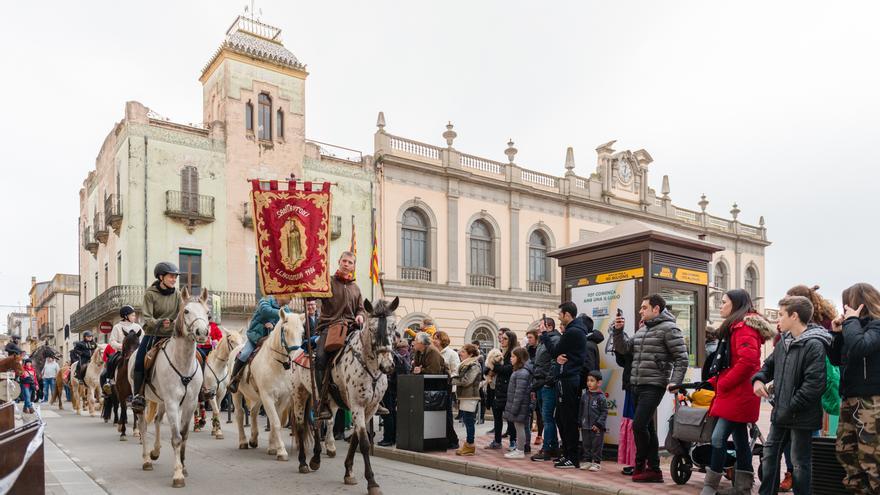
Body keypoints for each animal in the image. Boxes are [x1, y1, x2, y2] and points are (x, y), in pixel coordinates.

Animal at [129, 286, 210, 488]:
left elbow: (184, 435)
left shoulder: (189, 404)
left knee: (158, 420)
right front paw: (178, 475)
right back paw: (147, 460)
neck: (182, 363)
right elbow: (176, 438)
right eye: (186, 311)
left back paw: (155, 452)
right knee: (143, 426)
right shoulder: (173, 403)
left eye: (208, 313)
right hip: (145, 400)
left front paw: (183, 466)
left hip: (161, 400)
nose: (202, 332)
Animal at [232, 310, 304, 462]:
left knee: (253, 412)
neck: (277, 365)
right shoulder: (268, 397)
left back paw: (253, 439)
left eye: (302, 332)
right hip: (236, 394)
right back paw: (243, 441)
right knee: (240, 414)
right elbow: (275, 422)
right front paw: (281, 451)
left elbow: (276, 421)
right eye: (285, 330)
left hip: (258, 396)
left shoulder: (283, 398)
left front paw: (272, 447)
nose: (296, 356)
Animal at [290, 298, 398, 495]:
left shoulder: (370, 408)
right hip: (299, 394)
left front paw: (348, 472)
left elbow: (355, 439)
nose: (387, 365)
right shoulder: (357, 405)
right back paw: (303, 463)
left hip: (327, 402)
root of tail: (298, 351)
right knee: (301, 427)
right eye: (372, 329)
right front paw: (372, 482)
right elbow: (364, 443)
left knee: (320, 423)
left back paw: (316, 458)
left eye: (393, 328)